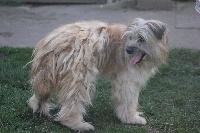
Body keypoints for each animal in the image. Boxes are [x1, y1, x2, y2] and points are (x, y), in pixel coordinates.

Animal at [27, 17, 169, 132]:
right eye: (130, 37)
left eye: (141, 39)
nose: (128, 50)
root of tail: (52, 42)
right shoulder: (127, 80)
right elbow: (128, 100)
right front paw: (131, 118)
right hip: (79, 75)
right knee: (73, 100)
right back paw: (76, 124)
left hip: (48, 75)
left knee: (40, 94)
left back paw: (40, 109)